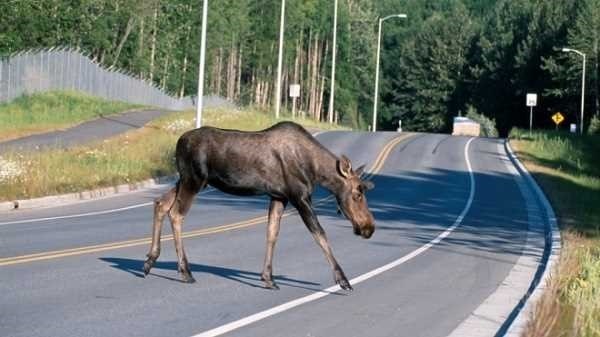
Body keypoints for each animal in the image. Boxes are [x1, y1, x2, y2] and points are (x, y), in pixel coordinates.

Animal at [142, 121, 372, 288]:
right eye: (357, 194)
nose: (368, 228)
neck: (315, 171)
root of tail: (178, 143)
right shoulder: (300, 197)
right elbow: (320, 235)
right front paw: (343, 280)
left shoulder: (279, 196)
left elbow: (272, 233)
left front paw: (268, 278)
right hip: (194, 180)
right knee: (176, 214)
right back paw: (185, 271)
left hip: (187, 180)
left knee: (160, 203)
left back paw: (150, 261)